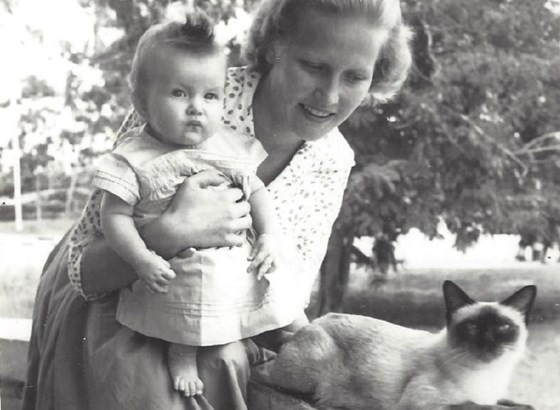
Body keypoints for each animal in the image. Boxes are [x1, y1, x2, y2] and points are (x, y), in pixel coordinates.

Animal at [274, 280, 536, 410]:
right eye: (472, 327)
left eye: (503, 327)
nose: (488, 341)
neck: (489, 376)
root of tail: (314, 322)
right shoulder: (427, 403)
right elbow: (481, 407)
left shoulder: (492, 396)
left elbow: (510, 403)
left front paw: (521, 404)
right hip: (308, 374)